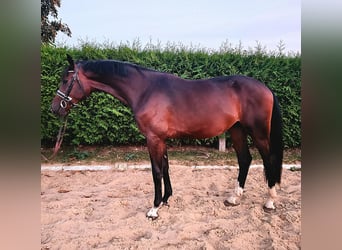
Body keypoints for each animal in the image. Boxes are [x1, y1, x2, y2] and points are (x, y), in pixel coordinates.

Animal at [50, 54, 284, 219]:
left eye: (65, 80)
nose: (55, 108)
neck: (145, 89)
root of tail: (266, 88)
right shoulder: (161, 139)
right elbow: (165, 167)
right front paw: (166, 199)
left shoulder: (153, 138)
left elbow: (155, 171)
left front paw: (154, 208)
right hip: (237, 130)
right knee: (245, 159)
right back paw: (234, 198)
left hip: (258, 133)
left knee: (268, 160)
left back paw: (270, 200)